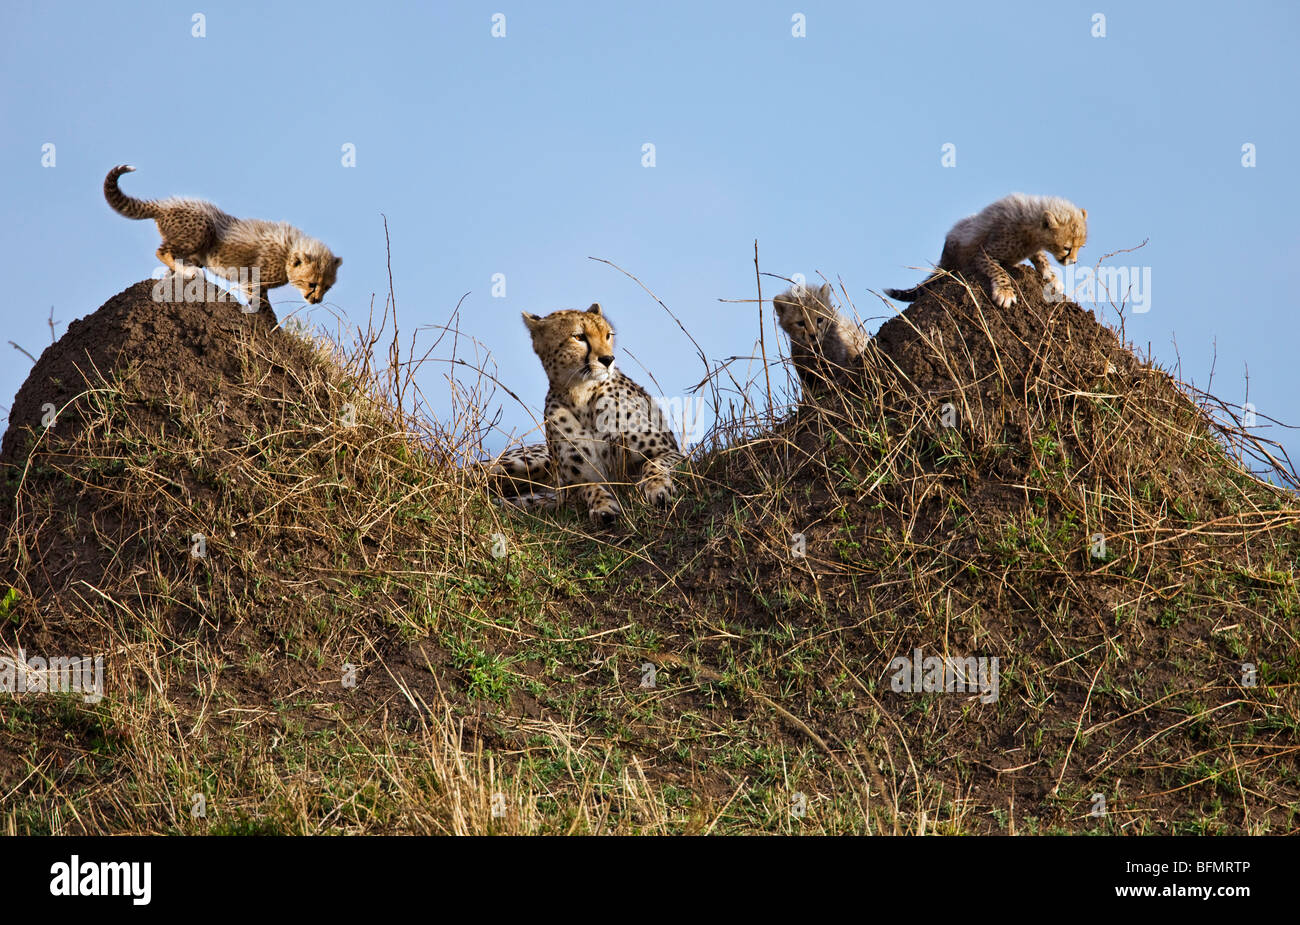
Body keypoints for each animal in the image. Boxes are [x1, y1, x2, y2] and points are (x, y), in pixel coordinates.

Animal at [104, 164, 340, 313]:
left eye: (327, 287)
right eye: (312, 284)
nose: (316, 300)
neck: (289, 250)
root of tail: (166, 204)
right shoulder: (253, 279)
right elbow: (262, 305)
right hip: (203, 228)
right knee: (162, 251)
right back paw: (188, 271)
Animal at [480, 301, 681, 524]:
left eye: (608, 335)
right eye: (579, 337)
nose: (608, 359)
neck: (581, 395)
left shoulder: (672, 452)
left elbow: (654, 465)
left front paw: (658, 488)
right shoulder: (573, 484)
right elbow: (588, 488)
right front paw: (602, 506)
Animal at [883, 193, 1086, 309]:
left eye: (1080, 247)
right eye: (1067, 248)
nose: (1074, 261)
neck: (1031, 225)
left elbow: (1041, 258)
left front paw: (1052, 278)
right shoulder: (984, 254)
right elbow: (999, 271)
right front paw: (1005, 293)